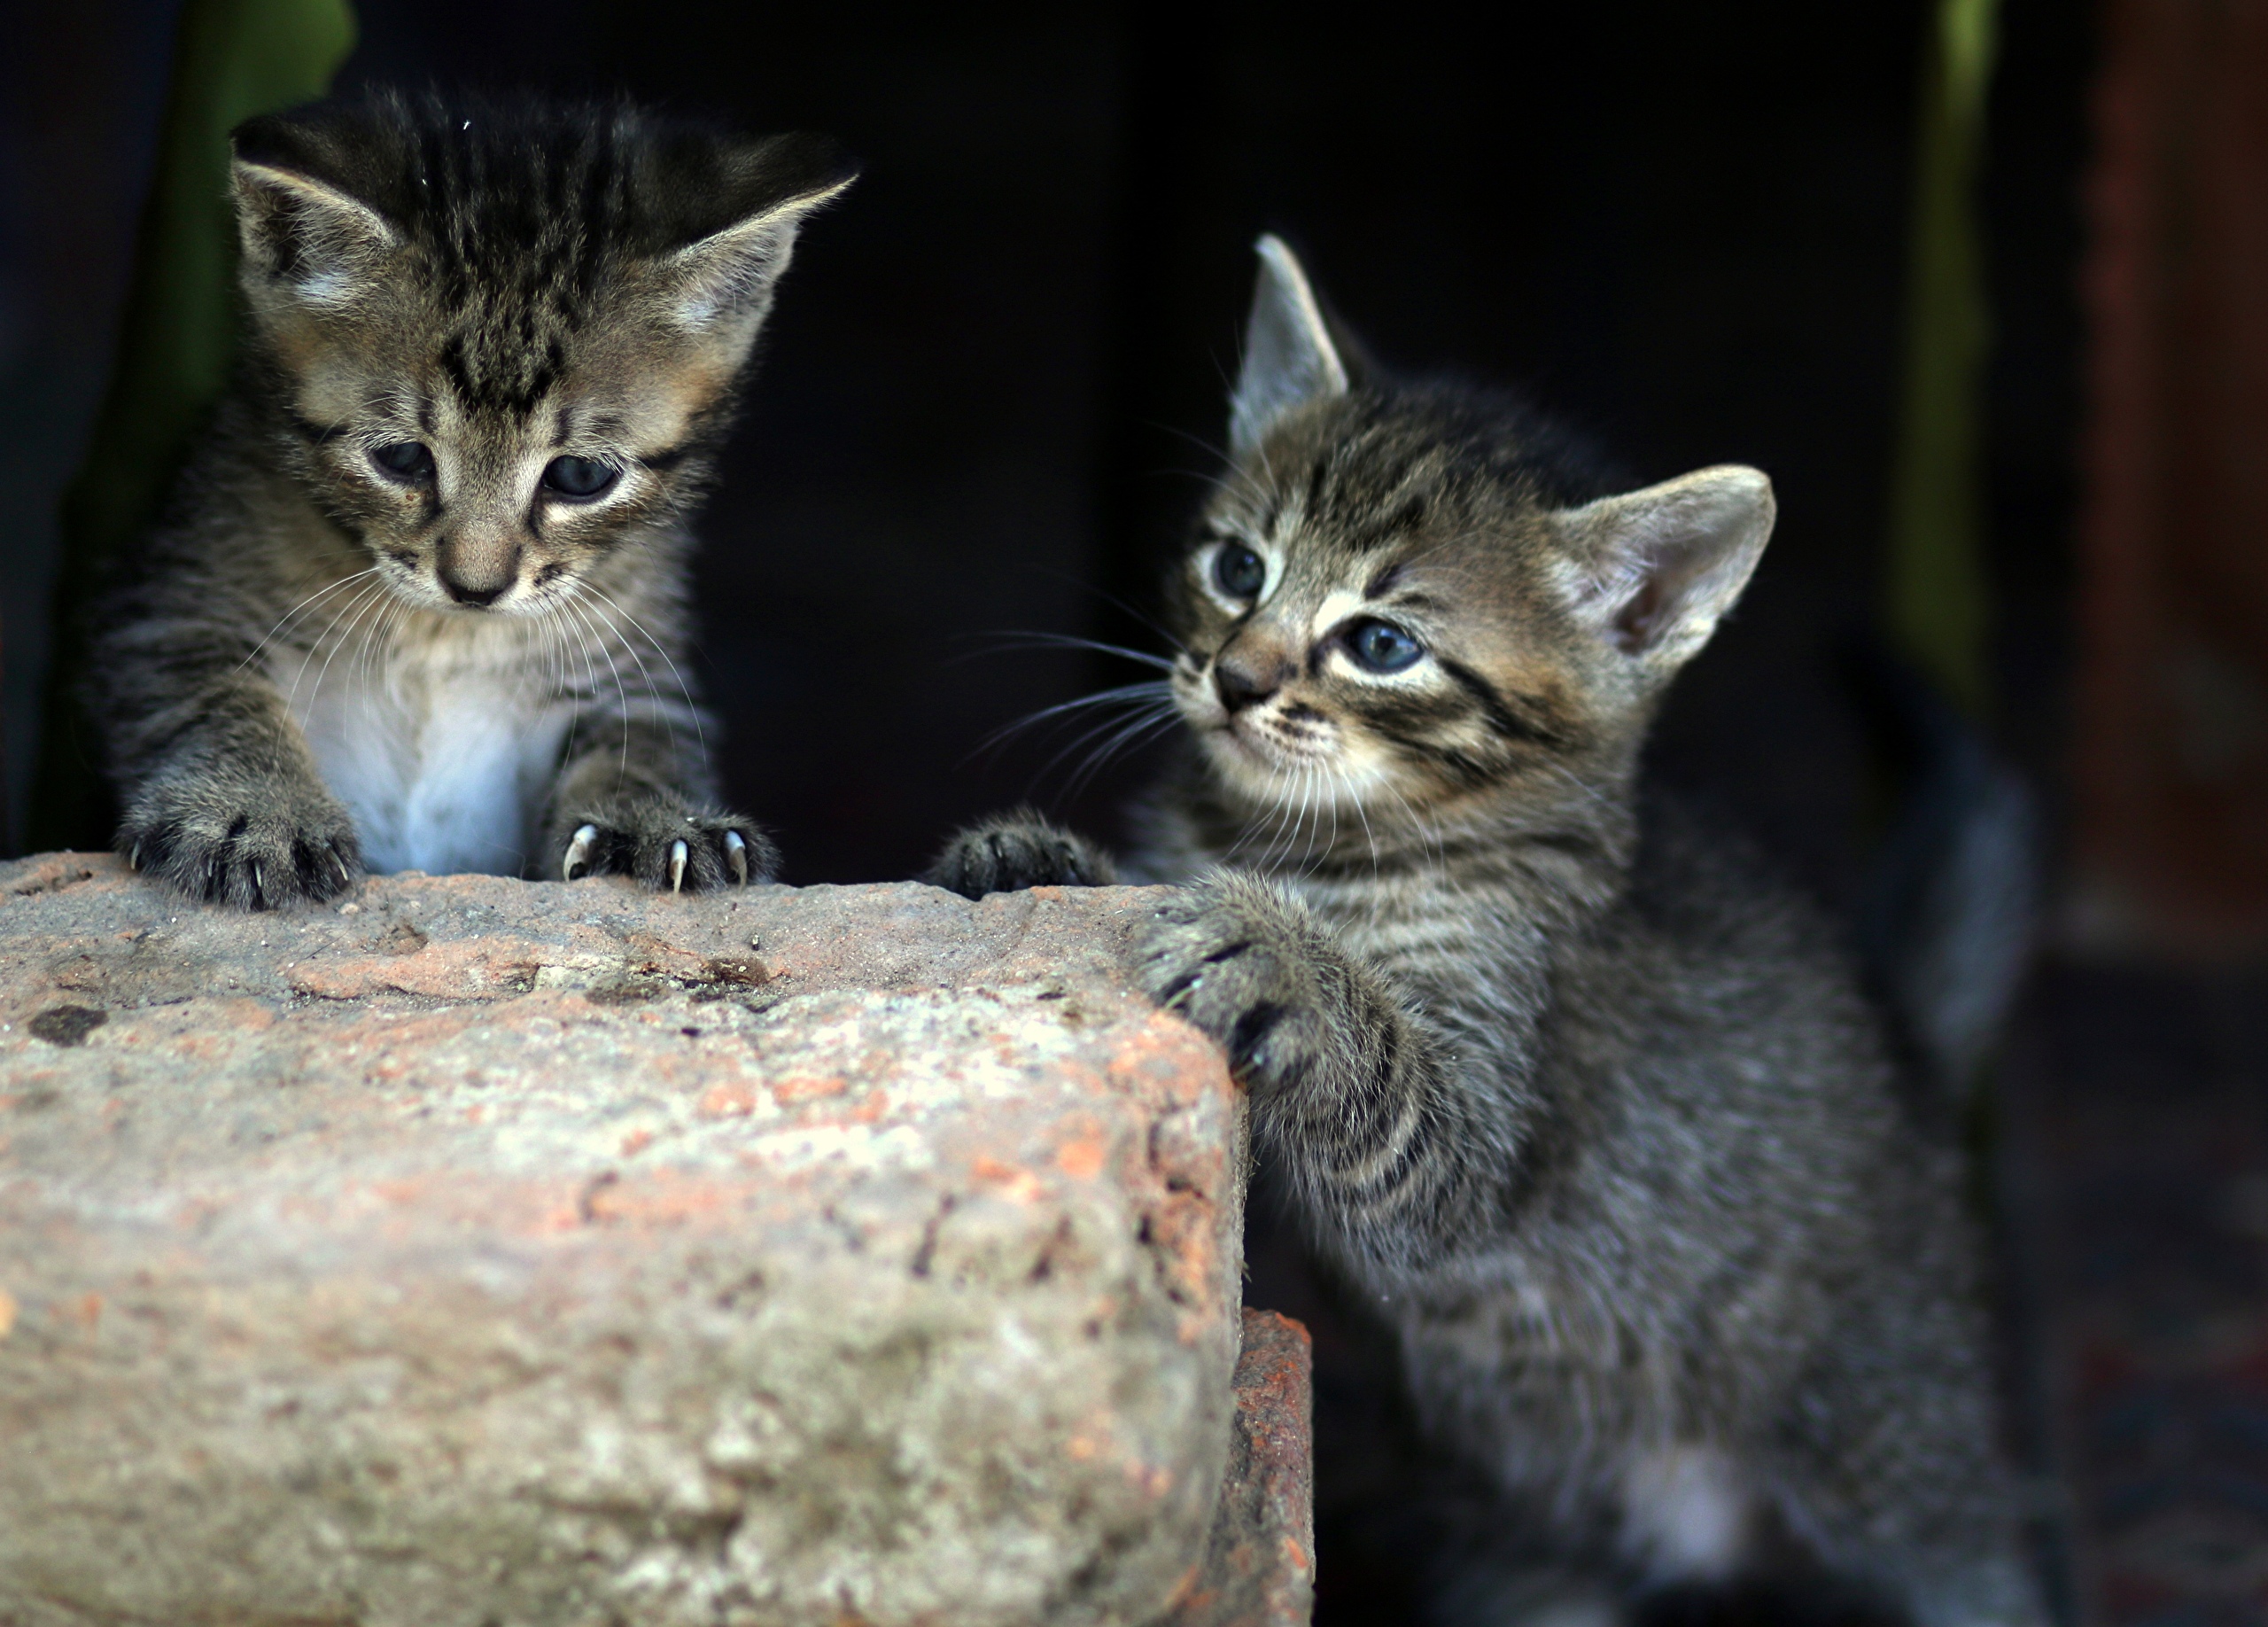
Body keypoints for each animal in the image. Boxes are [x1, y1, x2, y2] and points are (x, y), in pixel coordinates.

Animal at [86, 91, 852, 903]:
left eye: (581, 477)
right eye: (400, 459)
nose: (475, 587)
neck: (444, 639)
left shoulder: (637, 658)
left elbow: (641, 736)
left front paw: (657, 818)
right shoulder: (170, 603)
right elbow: (211, 695)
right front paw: (253, 809)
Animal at [929, 237, 2050, 1624]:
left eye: (1381, 643)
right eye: (1238, 569)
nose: (1235, 679)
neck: (1296, 841)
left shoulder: (1481, 1133)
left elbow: (1401, 1102)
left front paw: (1283, 958)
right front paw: (1034, 855)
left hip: (1904, 1467)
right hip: (1520, 1555)